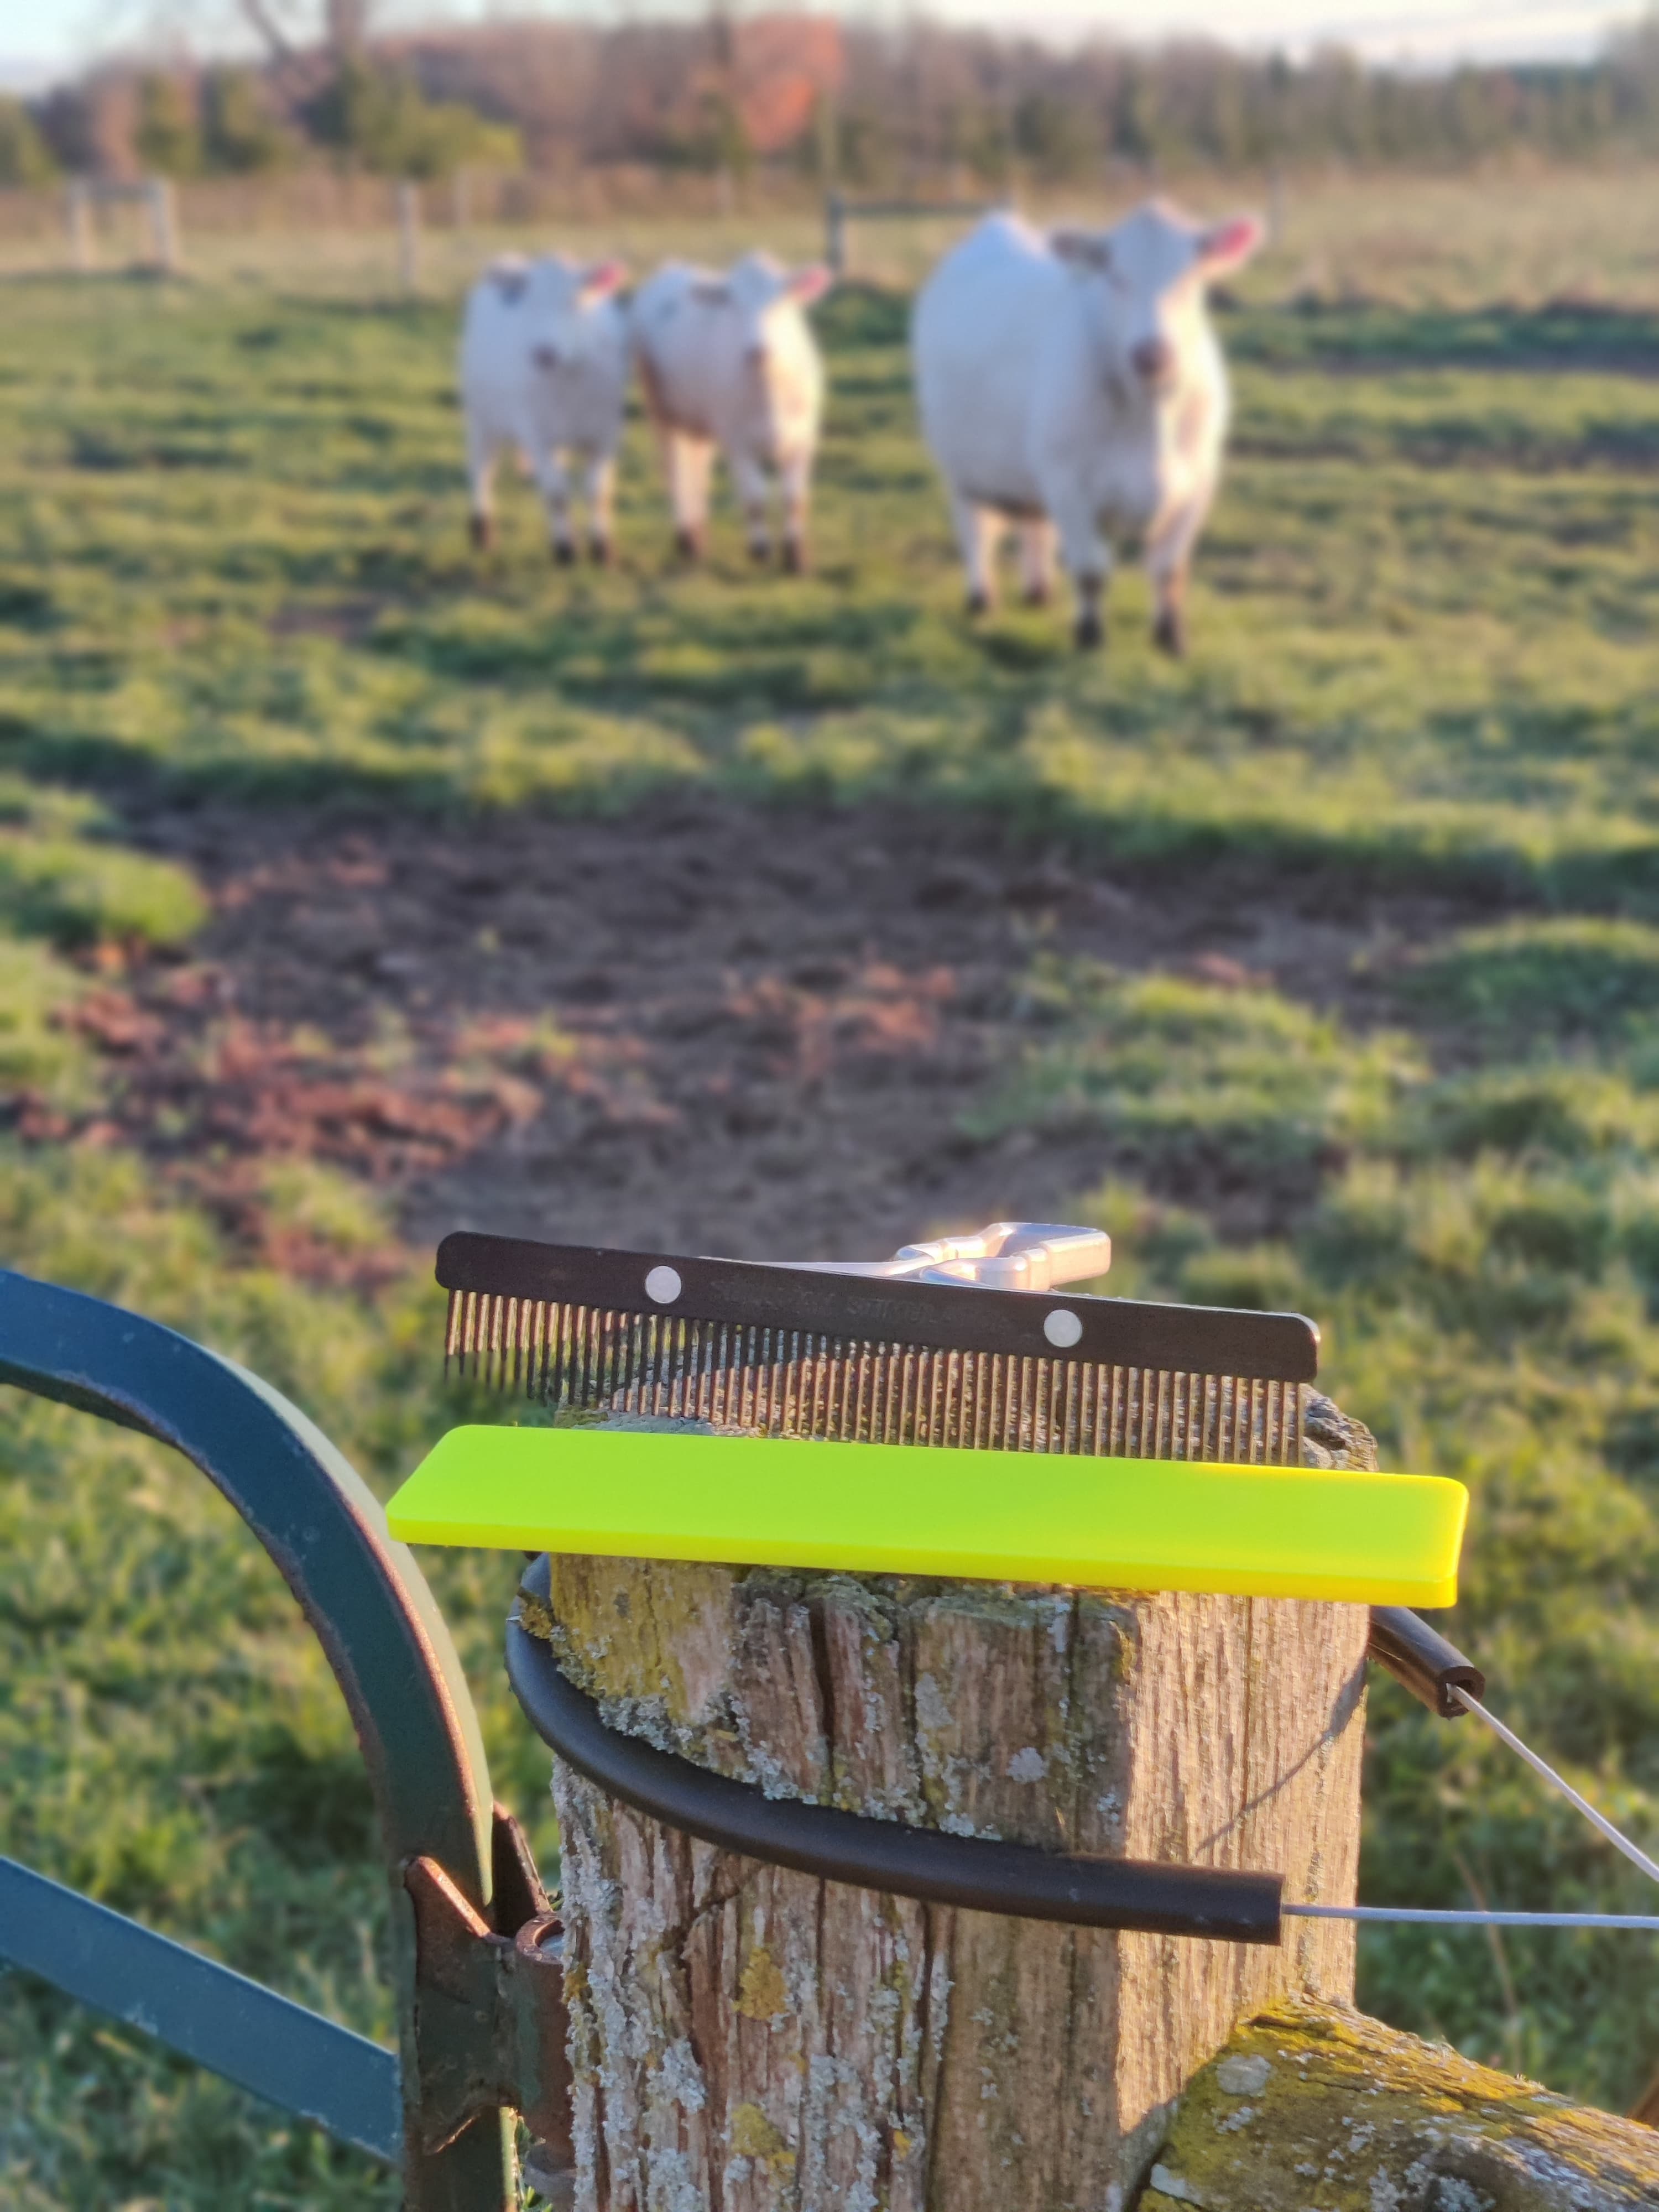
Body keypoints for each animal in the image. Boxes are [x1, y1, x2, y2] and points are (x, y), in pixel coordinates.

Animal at [459, 254, 629, 563]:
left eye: (574, 301)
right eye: (528, 304)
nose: (544, 353)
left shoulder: (605, 434)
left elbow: (598, 491)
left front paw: (602, 547)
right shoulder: (537, 436)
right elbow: (556, 493)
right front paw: (565, 548)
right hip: (481, 417)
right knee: (482, 469)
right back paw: (482, 530)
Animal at [629, 252, 831, 572]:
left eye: (780, 300)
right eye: (733, 303)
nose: (757, 351)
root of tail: (673, 267)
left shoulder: (804, 439)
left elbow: (794, 498)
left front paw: (795, 555)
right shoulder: (738, 443)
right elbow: (755, 498)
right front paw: (760, 550)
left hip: (700, 418)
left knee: (698, 471)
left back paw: (700, 532)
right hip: (661, 411)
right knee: (675, 469)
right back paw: (687, 538)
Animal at [911, 204, 1263, 652]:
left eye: (1191, 278)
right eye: (1115, 277)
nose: (1152, 353)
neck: (1149, 419)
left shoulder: (1198, 481)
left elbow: (1169, 568)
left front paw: (1171, 637)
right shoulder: (1069, 481)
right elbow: (1091, 568)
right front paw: (1090, 636)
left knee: (1035, 523)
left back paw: (1039, 591)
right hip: (960, 467)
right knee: (975, 530)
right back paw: (981, 599)